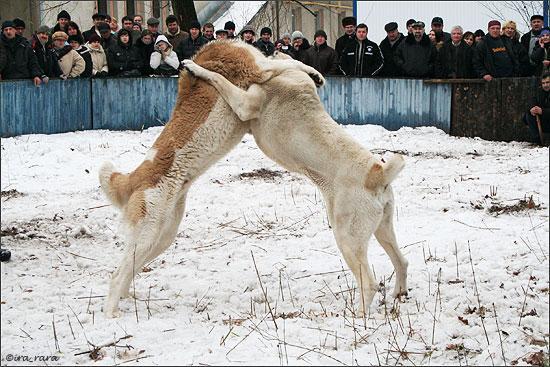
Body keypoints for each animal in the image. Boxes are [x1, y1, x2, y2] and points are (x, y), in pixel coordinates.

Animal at [100, 38, 410, 318]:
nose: (276, 46)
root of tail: (378, 174)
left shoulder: (249, 95)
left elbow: (256, 70)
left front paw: (194, 67)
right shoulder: (253, 89)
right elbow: (284, 65)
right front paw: (312, 73)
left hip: (354, 235)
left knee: (380, 275)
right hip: (155, 236)